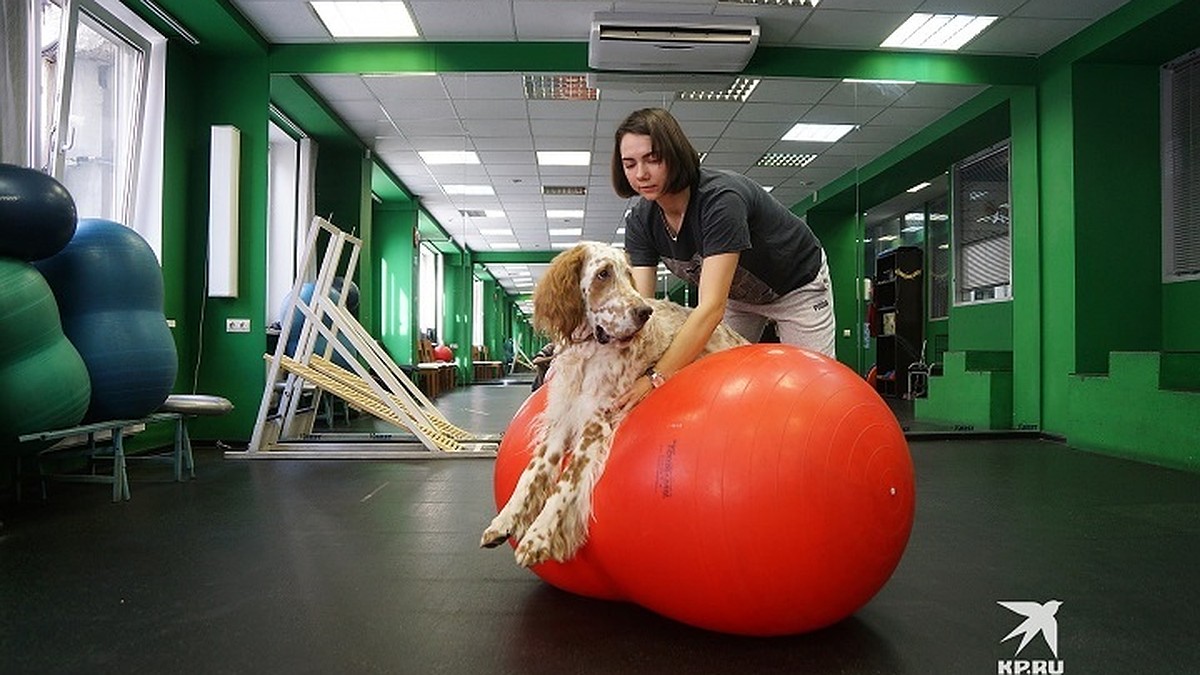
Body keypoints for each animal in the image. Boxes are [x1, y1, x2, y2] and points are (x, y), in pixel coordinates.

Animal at [480, 239, 744, 564]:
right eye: (603, 273)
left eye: (628, 274)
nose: (645, 312)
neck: (587, 353)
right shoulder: (562, 420)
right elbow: (532, 472)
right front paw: (505, 519)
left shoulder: (595, 422)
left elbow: (567, 481)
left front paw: (538, 536)